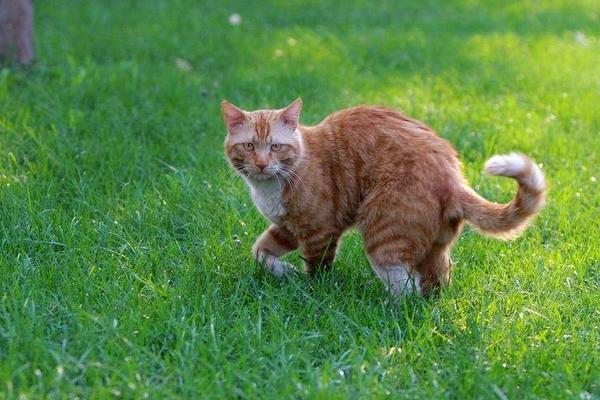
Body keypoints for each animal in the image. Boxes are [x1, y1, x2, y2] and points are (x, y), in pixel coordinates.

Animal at [223, 99, 548, 296]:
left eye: (275, 147)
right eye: (249, 146)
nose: (261, 164)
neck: (269, 188)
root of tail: (453, 177)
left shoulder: (319, 230)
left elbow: (317, 268)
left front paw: (311, 289)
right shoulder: (287, 227)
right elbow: (260, 250)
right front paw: (283, 272)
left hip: (383, 233)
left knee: (406, 287)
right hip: (434, 246)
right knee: (437, 279)